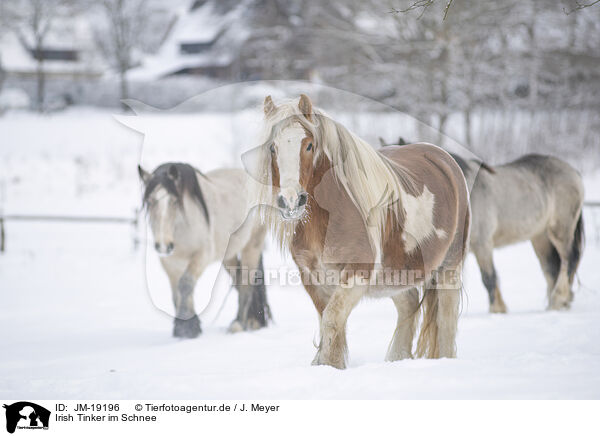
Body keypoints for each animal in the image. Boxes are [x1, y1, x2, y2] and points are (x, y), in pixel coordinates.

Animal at [138, 164, 270, 338]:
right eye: (149, 201)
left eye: (174, 201)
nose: (164, 246)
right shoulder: (170, 263)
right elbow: (177, 294)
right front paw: (187, 327)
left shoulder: (201, 256)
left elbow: (186, 284)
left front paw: (186, 329)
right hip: (228, 255)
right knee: (238, 279)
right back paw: (250, 322)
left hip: (252, 244)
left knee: (246, 282)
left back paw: (239, 324)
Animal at [251, 95, 472, 368]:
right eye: (273, 147)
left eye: (309, 145)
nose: (290, 201)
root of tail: (443, 158)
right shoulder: (312, 277)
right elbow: (328, 325)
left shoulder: (357, 274)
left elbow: (332, 320)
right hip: (396, 274)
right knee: (408, 305)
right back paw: (396, 359)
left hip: (450, 267)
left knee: (446, 320)